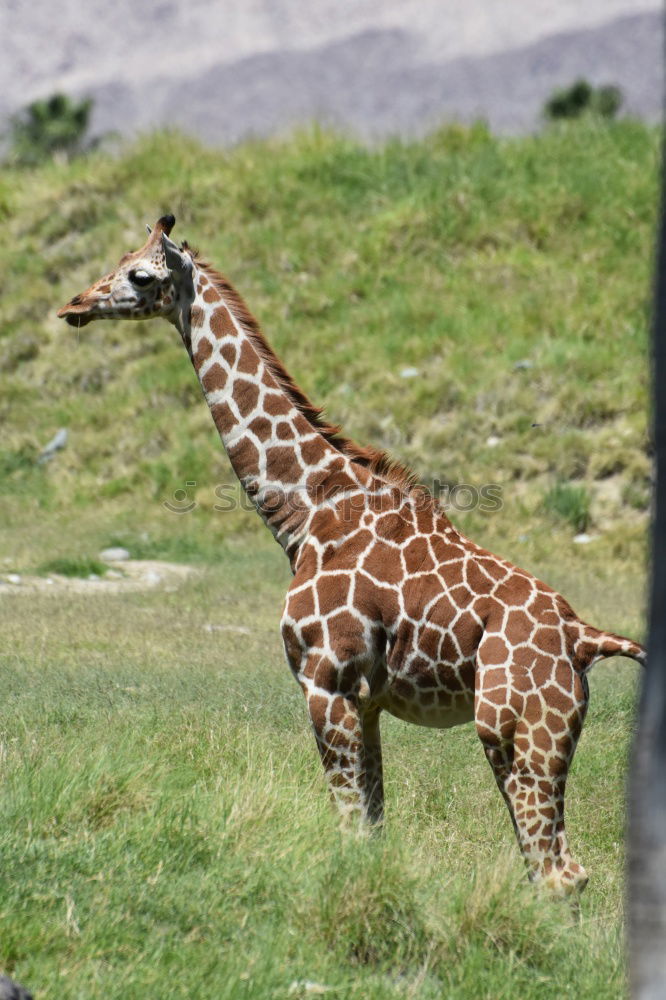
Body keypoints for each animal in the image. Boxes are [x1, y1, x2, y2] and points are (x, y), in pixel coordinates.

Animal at [58, 215, 644, 896]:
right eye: (121, 257)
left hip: (515, 726)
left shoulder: (325, 681)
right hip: (535, 734)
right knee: (553, 865)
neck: (308, 512)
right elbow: (373, 833)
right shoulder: (366, 702)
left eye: (140, 275)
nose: (74, 306)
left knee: (557, 870)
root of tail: (585, 638)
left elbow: (348, 830)